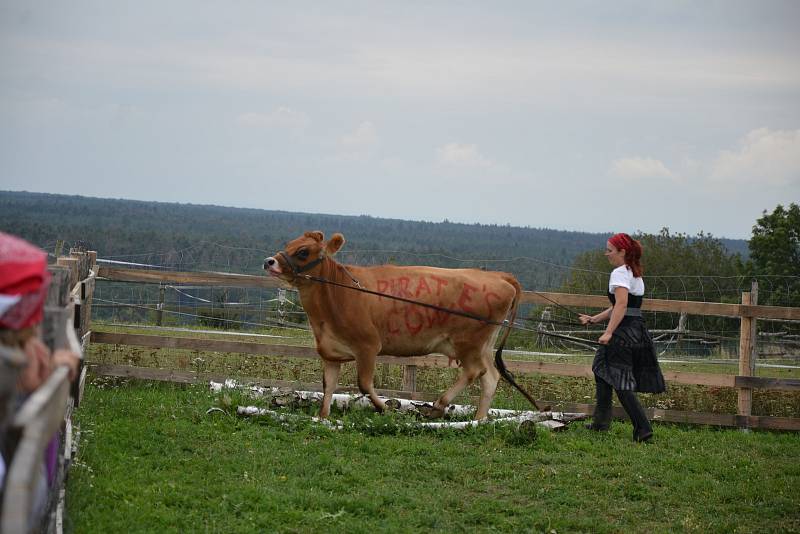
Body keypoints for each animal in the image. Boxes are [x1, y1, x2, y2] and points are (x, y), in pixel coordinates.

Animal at [262, 232, 524, 420]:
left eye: (303, 251)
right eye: (290, 243)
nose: (268, 261)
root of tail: (499, 276)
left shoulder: (368, 346)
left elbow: (364, 384)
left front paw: (384, 408)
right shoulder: (330, 352)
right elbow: (328, 386)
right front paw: (323, 417)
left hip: (468, 343)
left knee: (474, 372)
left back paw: (439, 405)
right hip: (483, 345)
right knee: (490, 377)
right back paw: (478, 420)